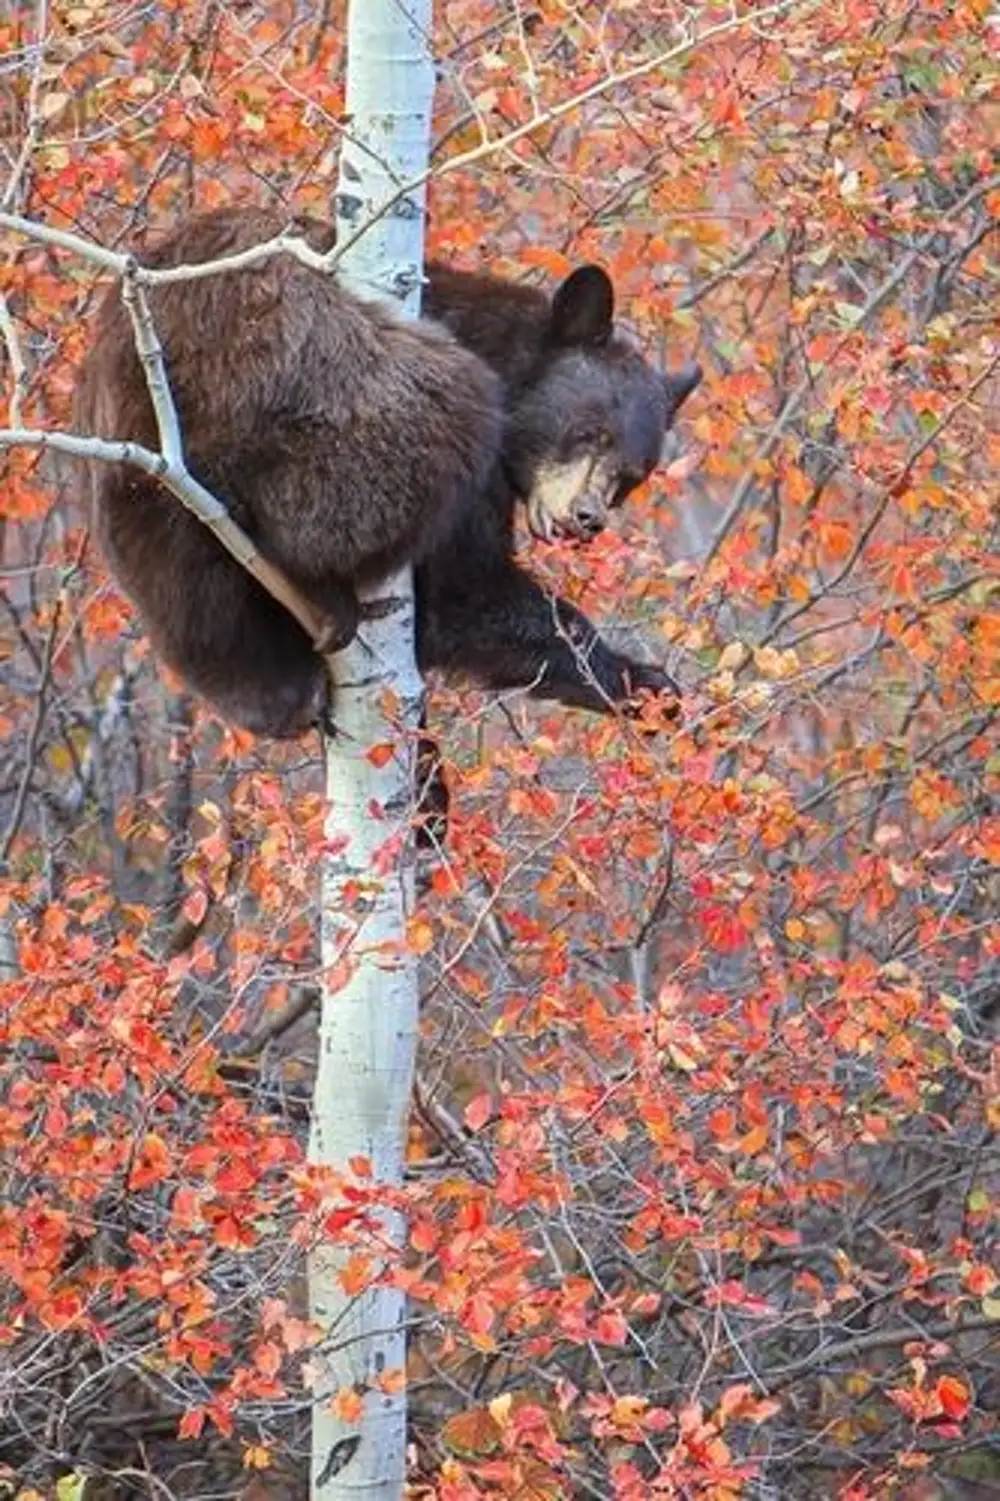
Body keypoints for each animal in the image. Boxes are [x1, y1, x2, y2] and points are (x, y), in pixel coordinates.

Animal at [73, 210, 696, 744]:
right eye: (590, 431)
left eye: (633, 475)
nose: (588, 518)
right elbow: (465, 595)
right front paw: (641, 680)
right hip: (323, 388)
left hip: (144, 505)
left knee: (195, 606)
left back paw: (276, 693)